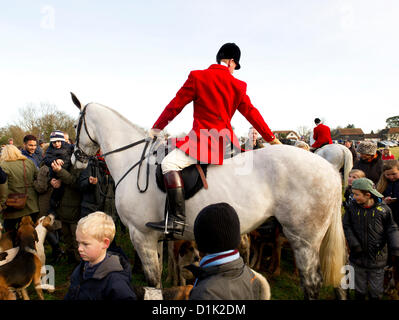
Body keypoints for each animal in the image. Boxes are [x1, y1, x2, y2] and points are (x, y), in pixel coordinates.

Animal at [69, 95, 346, 300]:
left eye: (75, 126)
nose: (75, 160)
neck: (134, 160)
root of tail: (329, 168)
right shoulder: (154, 238)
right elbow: (158, 280)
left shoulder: (141, 236)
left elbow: (152, 282)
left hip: (304, 239)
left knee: (312, 284)